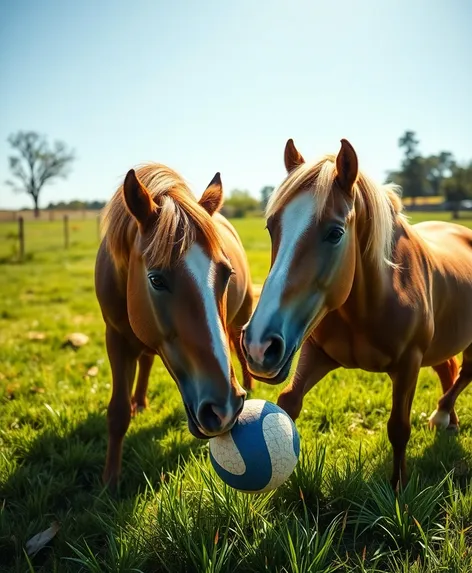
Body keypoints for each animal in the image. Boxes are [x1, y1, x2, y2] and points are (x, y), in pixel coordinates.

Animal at [93, 163, 253, 484]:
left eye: (227, 273)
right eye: (156, 279)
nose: (226, 408)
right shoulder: (115, 337)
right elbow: (118, 413)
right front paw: (110, 480)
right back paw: (140, 402)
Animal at [243, 139, 472, 488]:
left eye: (336, 233)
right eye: (271, 227)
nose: (258, 346)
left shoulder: (409, 364)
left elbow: (398, 428)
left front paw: (398, 487)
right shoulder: (316, 352)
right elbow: (288, 402)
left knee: (465, 371)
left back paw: (442, 414)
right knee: (448, 369)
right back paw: (450, 420)